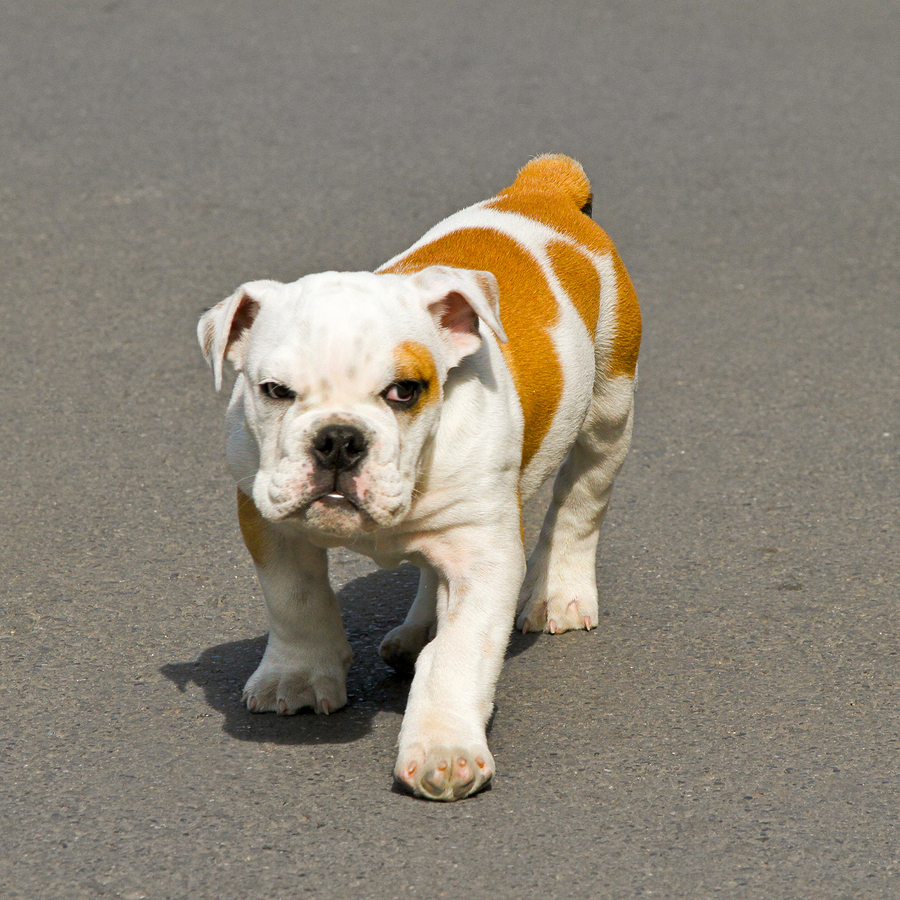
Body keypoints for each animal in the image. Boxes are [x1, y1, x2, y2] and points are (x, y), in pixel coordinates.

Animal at [200, 156, 644, 800]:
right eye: (275, 391)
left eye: (405, 391)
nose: (339, 438)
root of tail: (545, 187)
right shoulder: (268, 520)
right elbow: (294, 599)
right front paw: (298, 677)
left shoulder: (486, 552)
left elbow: (460, 654)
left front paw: (444, 747)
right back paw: (417, 630)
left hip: (611, 404)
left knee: (582, 498)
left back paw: (559, 593)